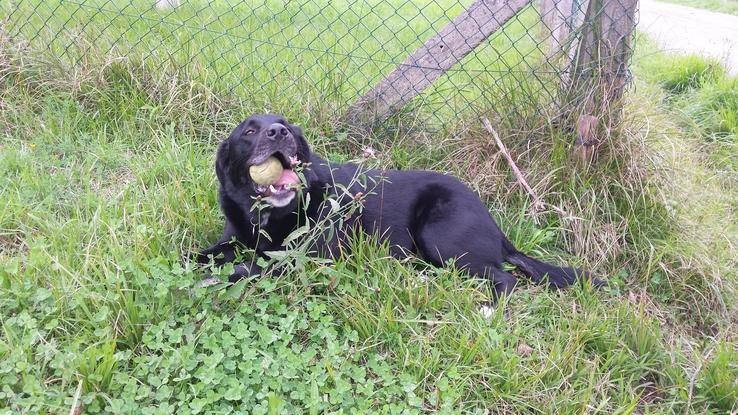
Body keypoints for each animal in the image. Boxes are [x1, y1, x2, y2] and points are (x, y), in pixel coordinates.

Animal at [197, 114, 600, 296]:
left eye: (286, 126)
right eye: (249, 131)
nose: (279, 133)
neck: (270, 213)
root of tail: (498, 230)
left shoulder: (304, 260)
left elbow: (249, 268)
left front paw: (216, 278)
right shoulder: (233, 238)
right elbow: (201, 255)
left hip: (440, 235)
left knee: (505, 279)